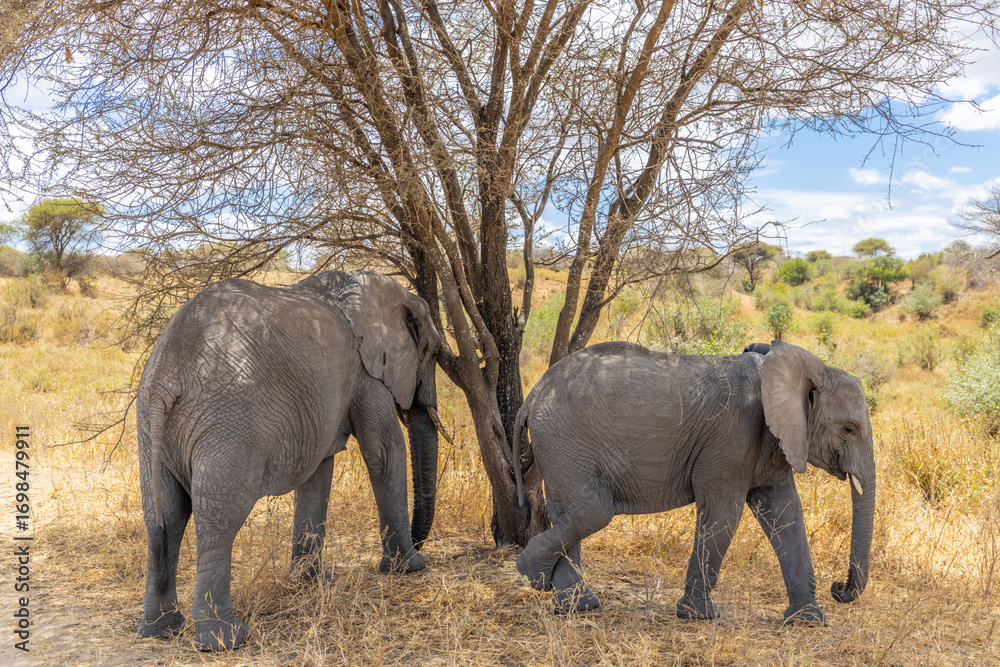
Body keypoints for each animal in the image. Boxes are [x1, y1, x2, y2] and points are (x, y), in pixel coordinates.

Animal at [135, 270, 442, 651]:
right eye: (433, 352)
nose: (419, 542)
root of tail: (166, 373)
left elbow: (319, 470)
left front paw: (311, 581)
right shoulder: (365, 373)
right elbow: (385, 450)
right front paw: (409, 568)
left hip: (153, 430)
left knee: (165, 515)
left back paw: (160, 629)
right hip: (229, 425)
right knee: (217, 518)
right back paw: (226, 639)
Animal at [512, 340, 875, 623]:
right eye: (848, 429)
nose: (838, 588)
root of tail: (531, 397)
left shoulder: (772, 442)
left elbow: (786, 514)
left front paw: (808, 620)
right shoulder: (734, 435)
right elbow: (723, 512)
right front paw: (700, 615)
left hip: (558, 444)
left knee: (571, 512)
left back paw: (577, 606)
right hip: (563, 439)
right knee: (591, 511)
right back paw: (533, 575)